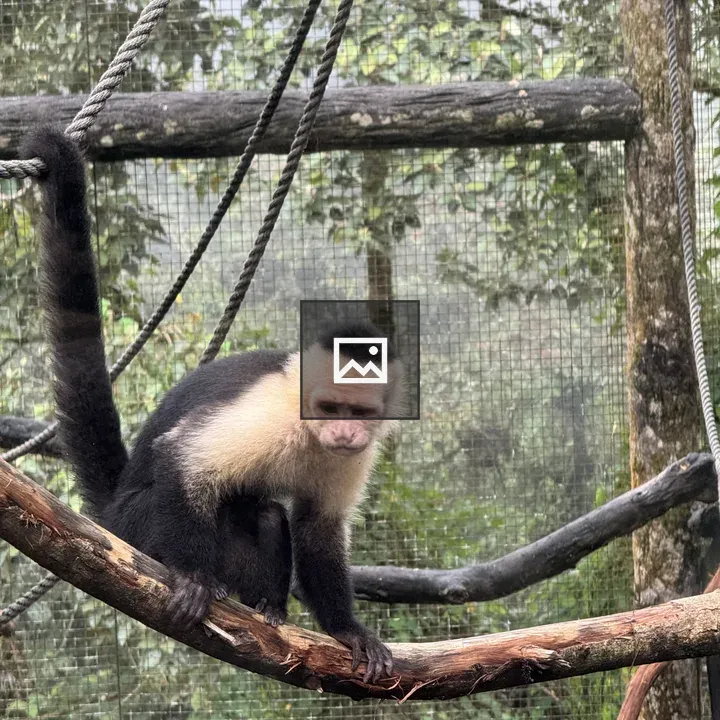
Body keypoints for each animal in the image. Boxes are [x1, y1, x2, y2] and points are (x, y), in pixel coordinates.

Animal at [22, 126, 405, 683]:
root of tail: (111, 512)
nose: (344, 433)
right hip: (134, 527)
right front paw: (193, 577)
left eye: (359, 415)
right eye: (329, 407)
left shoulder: (355, 454)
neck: (306, 433)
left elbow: (318, 529)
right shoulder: (268, 411)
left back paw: (268, 608)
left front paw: (347, 630)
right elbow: (182, 459)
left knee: (267, 515)